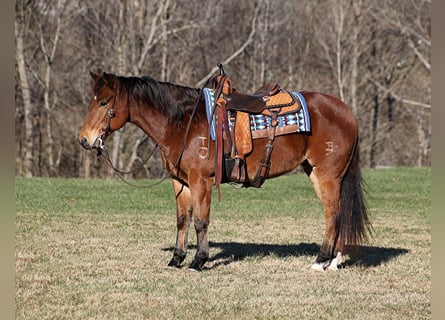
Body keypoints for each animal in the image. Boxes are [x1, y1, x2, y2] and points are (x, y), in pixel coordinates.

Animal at [78, 71, 370, 272]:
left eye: (103, 103)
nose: (84, 139)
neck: (182, 123)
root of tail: (346, 111)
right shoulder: (180, 182)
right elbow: (182, 220)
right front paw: (176, 258)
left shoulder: (201, 181)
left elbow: (200, 221)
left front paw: (198, 261)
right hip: (318, 174)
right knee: (337, 213)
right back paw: (334, 260)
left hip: (327, 175)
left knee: (333, 214)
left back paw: (321, 261)